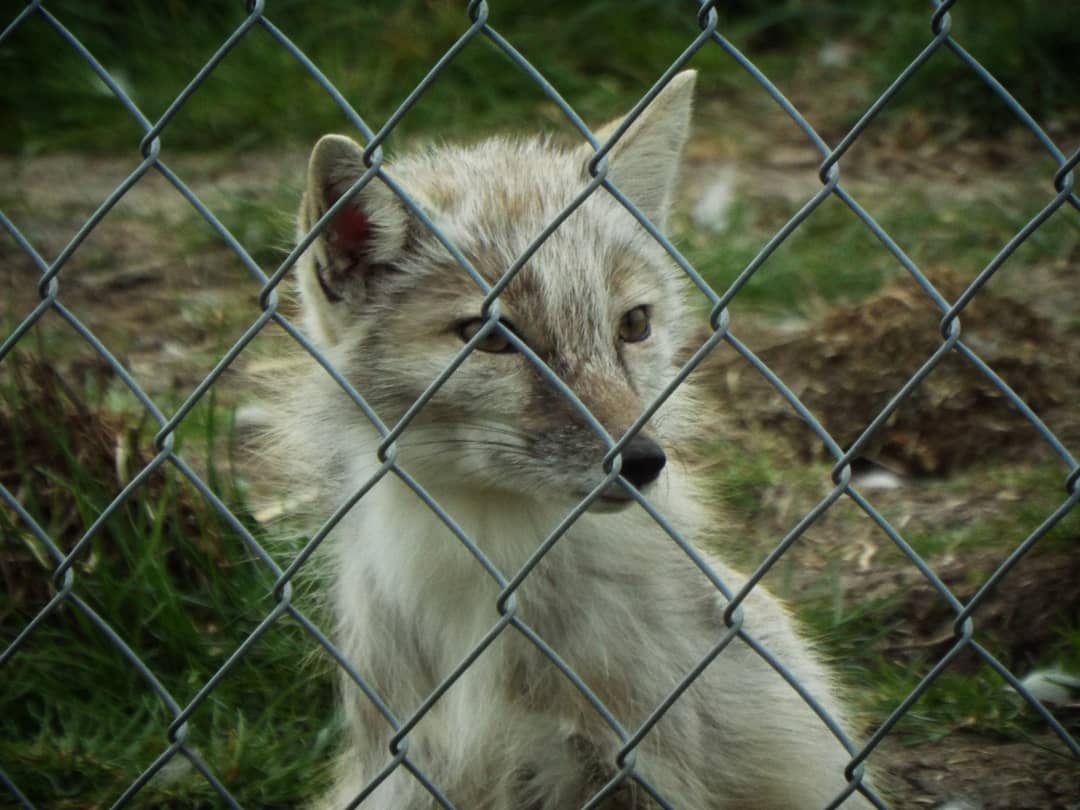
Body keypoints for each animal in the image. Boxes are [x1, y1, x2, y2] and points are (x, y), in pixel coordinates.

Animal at [269, 70, 876, 809]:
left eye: (633, 325)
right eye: (492, 338)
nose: (643, 462)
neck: (488, 585)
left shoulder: (629, 766)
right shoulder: (412, 766)